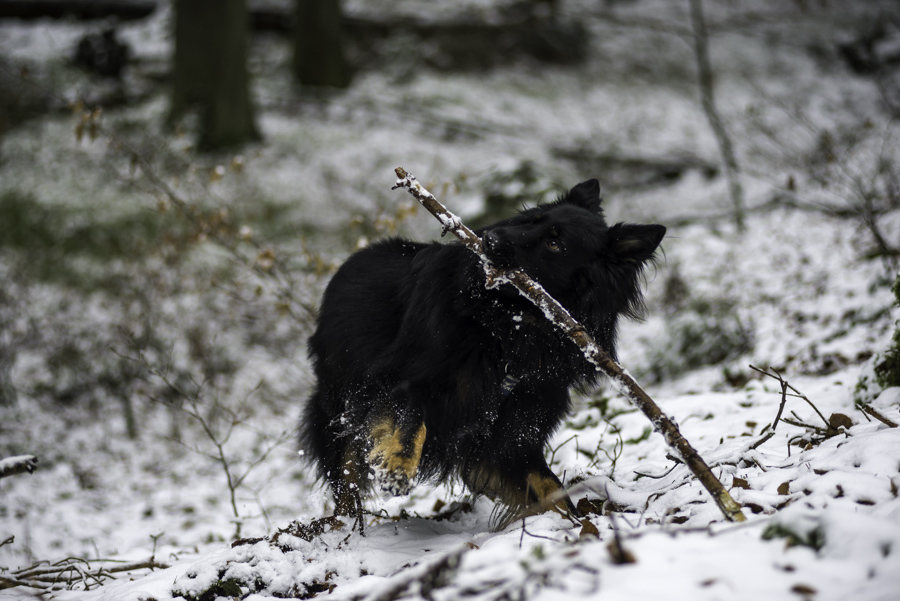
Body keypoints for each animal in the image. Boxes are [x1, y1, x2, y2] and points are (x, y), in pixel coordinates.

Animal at [298, 182, 664, 524]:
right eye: (530, 219)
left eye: (555, 244)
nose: (489, 238)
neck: (509, 327)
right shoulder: (400, 377)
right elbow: (413, 420)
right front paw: (398, 467)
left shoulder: (515, 427)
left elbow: (548, 485)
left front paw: (574, 525)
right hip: (339, 402)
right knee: (345, 472)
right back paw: (344, 526)